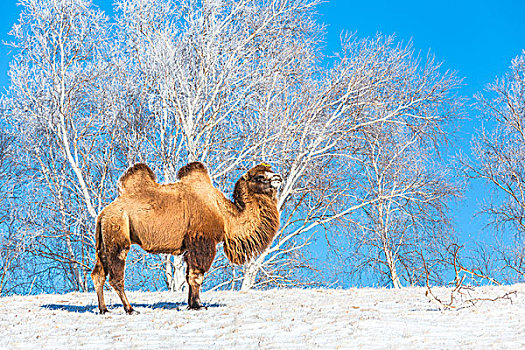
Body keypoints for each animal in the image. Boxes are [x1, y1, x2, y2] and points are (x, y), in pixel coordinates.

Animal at [90, 161, 280, 314]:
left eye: (270, 171)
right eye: (260, 176)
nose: (278, 177)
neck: (223, 213)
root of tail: (103, 214)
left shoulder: (190, 246)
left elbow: (189, 275)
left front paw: (191, 304)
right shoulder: (202, 240)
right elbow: (197, 275)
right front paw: (198, 305)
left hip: (104, 241)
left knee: (98, 274)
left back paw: (104, 309)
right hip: (118, 234)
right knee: (116, 276)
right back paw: (130, 309)